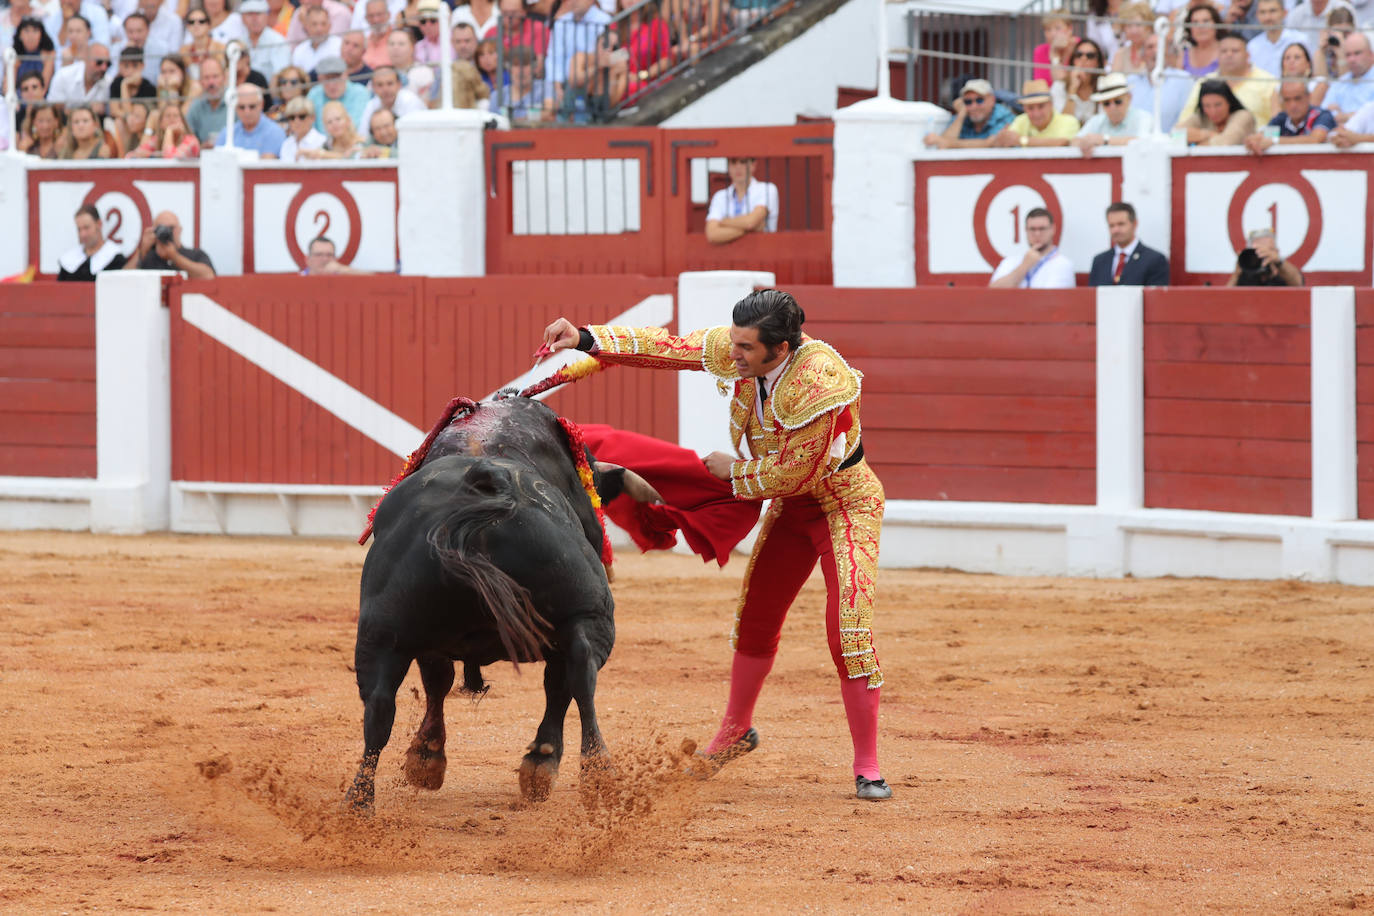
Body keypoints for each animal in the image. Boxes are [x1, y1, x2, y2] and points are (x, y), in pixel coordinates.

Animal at [340, 398, 645, 813]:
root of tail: (487, 487)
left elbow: (438, 681)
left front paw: (425, 757)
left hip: (382, 629)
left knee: (379, 705)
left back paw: (358, 803)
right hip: (588, 612)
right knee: (580, 673)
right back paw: (592, 771)